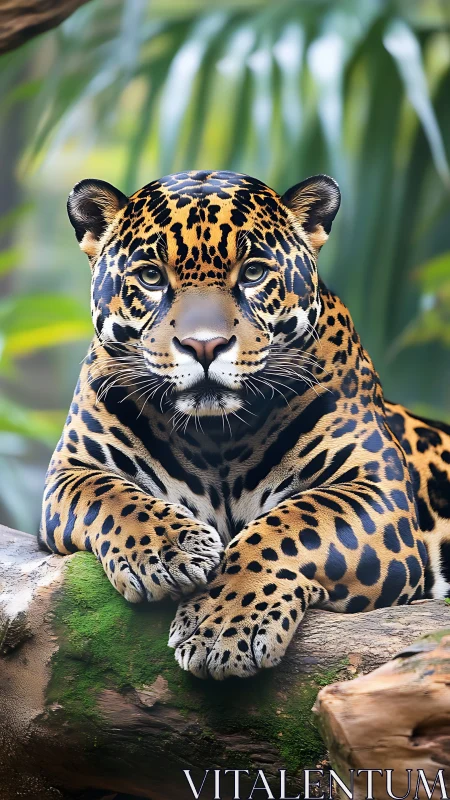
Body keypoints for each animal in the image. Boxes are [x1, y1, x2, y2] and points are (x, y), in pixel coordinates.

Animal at [39, 169, 450, 680]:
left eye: (253, 273)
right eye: (151, 277)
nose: (204, 345)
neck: (215, 435)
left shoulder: (377, 489)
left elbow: (291, 526)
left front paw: (221, 625)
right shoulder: (69, 472)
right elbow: (112, 497)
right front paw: (172, 551)